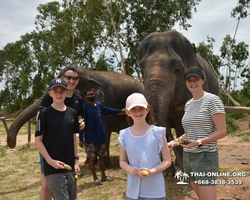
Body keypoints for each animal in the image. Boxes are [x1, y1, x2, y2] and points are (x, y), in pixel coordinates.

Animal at [6, 67, 144, 167]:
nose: (12, 144)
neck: (90, 73)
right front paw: (88, 164)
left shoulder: (108, 101)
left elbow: (104, 131)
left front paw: (104, 166)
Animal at [139, 30, 219, 175]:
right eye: (141, 70)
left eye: (177, 69)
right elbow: (167, 128)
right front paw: (168, 172)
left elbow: (183, 126)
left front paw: (185, 170)